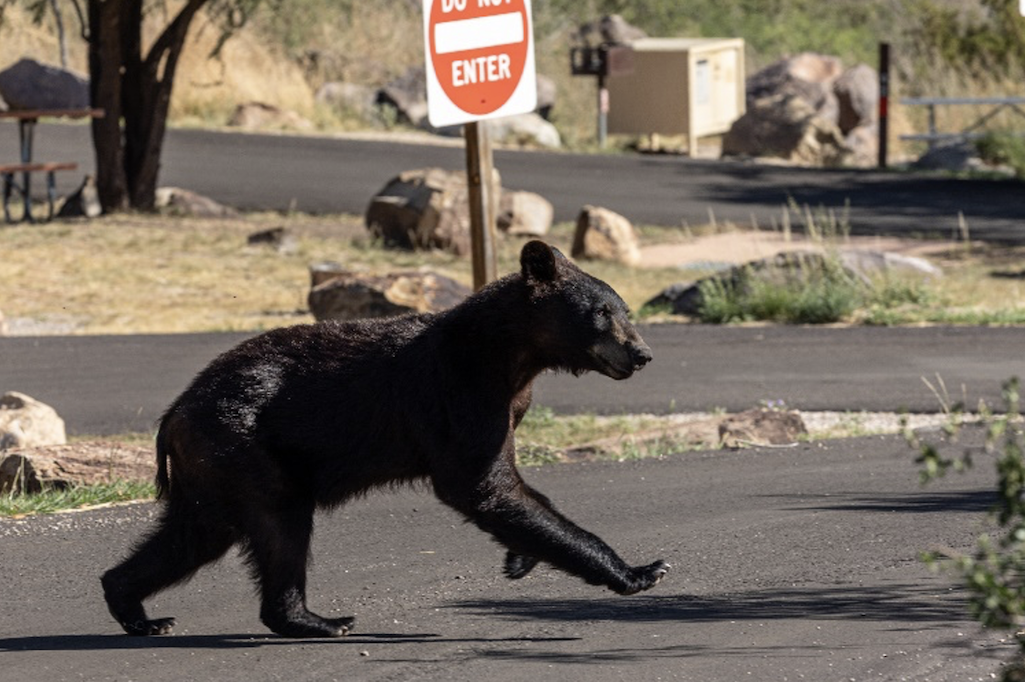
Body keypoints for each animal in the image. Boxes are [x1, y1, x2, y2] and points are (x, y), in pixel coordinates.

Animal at [101, 240, 668, 638]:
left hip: (212, 466)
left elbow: (506, 490)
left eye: (625, 310)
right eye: (601, 313)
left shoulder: (511, 404)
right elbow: (480, 485)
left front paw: (519, 557)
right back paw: (321, 620)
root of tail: (174, 412)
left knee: (194, 533)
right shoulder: (461, 393)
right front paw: (642, 569)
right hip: (243, 446)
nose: (641, 353)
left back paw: (138, 608)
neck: (510, 355)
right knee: (278, 524)